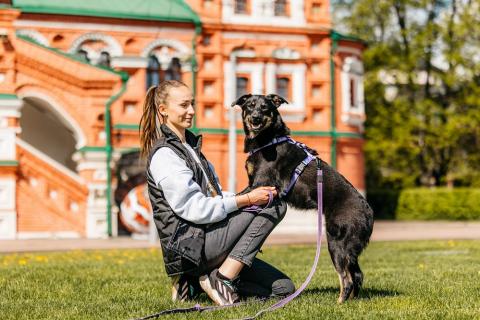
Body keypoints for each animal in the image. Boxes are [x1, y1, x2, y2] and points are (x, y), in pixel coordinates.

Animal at [232, 93, 376, 302]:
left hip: (336, 243)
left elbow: (234, 196)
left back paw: (339, 303)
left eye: (265, 107)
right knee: (357, 275)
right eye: (250, 105)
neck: (268, 140)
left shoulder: (258, 185)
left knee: (347, 278)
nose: (256, 118)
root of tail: (368, 212)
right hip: (350, 248)